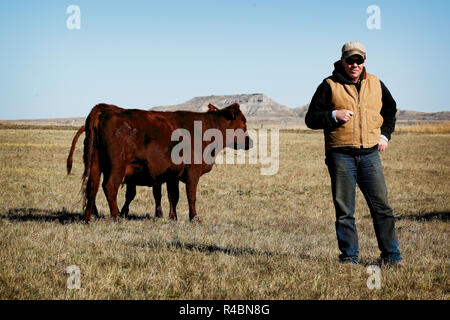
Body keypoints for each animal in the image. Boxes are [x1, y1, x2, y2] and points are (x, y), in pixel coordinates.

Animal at [66, 103, 253, 222]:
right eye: (243, 121)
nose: (250, 142)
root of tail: (106, 109)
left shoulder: (172, 175)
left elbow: (173, 196)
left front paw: (173, 217)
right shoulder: (193, 172)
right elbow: (191, 196)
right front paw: (194, 218)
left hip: (95, 164)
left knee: (92, 187)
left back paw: (88, 218)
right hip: (117, 166)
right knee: (109, 186)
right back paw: (116, 217)